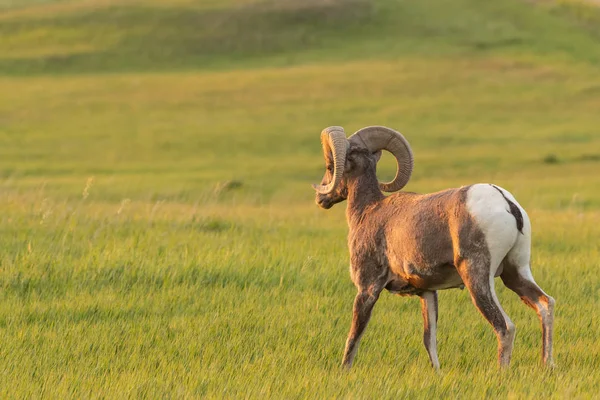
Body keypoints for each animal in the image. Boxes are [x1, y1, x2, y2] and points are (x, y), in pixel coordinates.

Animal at [312, 125, 556, 368]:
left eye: (330, 166)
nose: (321, 199)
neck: (369, 209)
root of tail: (506, 202)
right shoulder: (427, 292)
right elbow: (429, 339)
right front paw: (437, 372)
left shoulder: (368, 289)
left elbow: (354, 337)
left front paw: (344, 371)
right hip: (516, 272)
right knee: (545, 304)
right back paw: (547, 366)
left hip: (478, 278)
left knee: (504, 327)